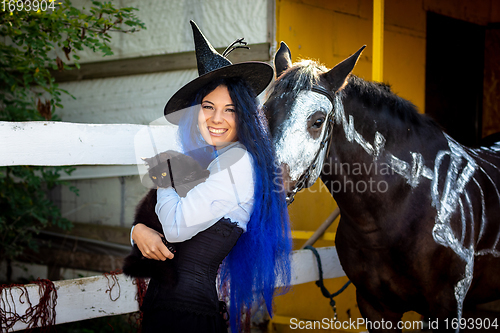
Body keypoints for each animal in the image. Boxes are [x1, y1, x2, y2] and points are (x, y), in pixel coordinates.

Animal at [122, 150, 210, 282]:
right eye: (153, 176)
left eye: (164, 173)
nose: (160, 183)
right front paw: (200, 176)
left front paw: (204, 172)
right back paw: (168, 246)